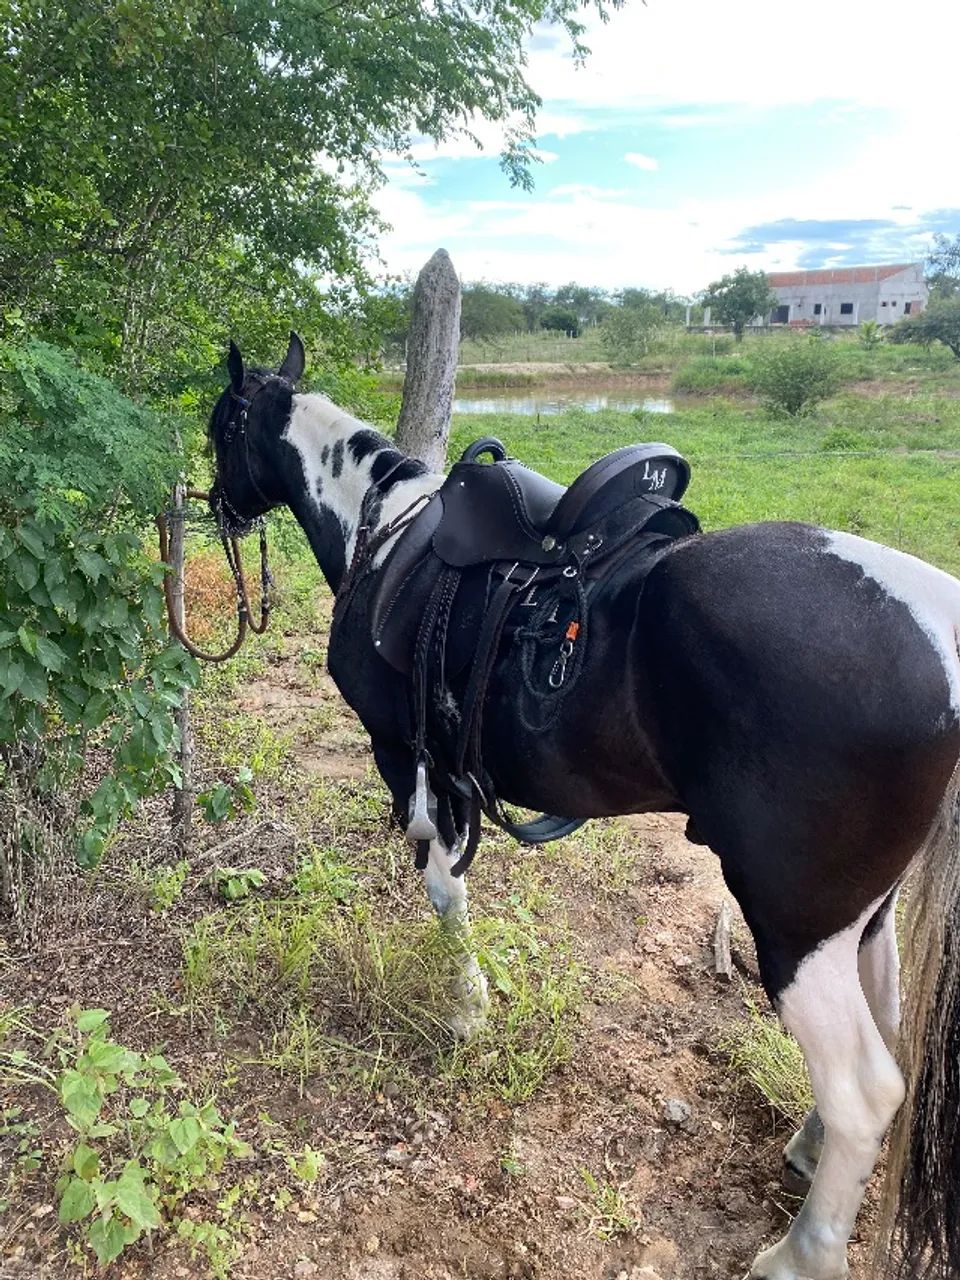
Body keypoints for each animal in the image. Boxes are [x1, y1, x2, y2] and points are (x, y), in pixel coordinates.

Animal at [205, 332, 960, 1280]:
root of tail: (943, 634)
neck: (385, 529)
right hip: (862, 913)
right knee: (884, 1031)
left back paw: (801, 1254)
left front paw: (466, 1008)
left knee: (864, 1086)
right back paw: (810, 1149)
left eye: (220, 429)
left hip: (794, 922)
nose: (216, 504)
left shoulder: (404, 754)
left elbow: (443, 888)